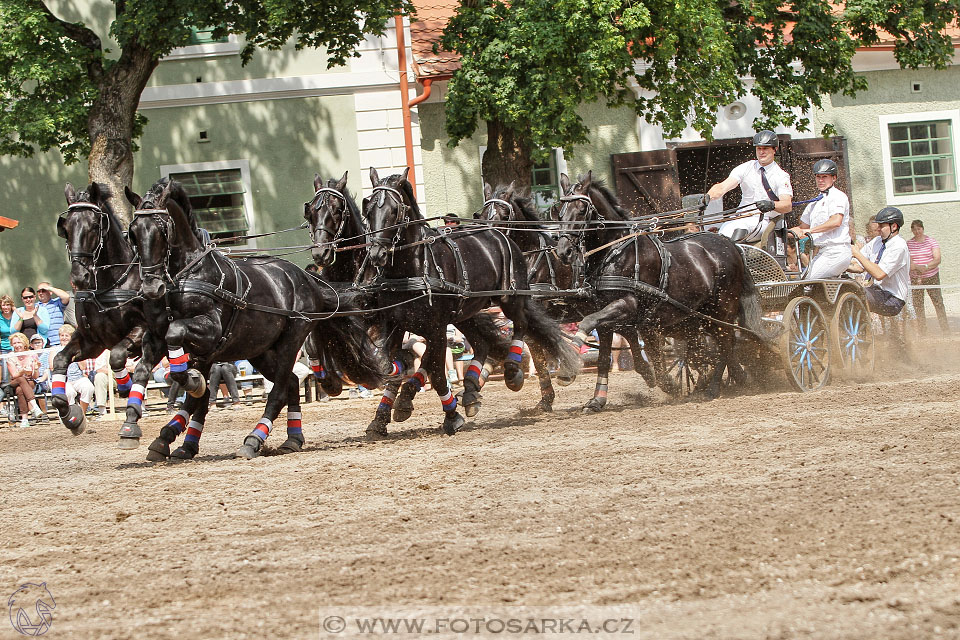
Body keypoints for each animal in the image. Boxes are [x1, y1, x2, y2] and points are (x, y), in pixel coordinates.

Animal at [51, 182, 147, 438]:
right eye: (66, 227)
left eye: (94, 226)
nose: (78, 277)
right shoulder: (92, 341)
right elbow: (60, 359)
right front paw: (70, 415)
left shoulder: (142, 330)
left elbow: (116, 356)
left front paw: (126, 389)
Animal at [125, 180, 384, 460]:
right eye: (133, 233)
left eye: (162, 230)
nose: (151, 287)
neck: (185, 276)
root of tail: (308, 281)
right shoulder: (157, 336)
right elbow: (144, 370)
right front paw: (132, 424)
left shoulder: (209, 333)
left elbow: (178, 341)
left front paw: (193, 383)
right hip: (259, 349)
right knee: (291, 383)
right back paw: (292, 438)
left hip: (291, 339)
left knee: (280, 390)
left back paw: (254, 439)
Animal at [306, 170, 516, 436]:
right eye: (311, 211)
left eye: (336, 209)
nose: (320, 253)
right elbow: (315, 339)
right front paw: (330, 380)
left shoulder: (379, 324)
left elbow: (387, 360)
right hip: (462, 312)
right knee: (478, 343)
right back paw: (465, 391)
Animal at [360, 168, 576, 436]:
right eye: (369, 210)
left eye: (394, 211)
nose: (376, 254)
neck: (412, 268)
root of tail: (500, 236)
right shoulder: (394, 324)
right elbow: (392, 367)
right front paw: (381, 418)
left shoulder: (436, 327)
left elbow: (436, 372)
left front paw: (450, 415)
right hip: (467, 311)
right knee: (483, 343)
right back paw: (472, 387)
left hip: (511, 297)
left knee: (522, 325)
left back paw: (512, 371)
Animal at [552, 172, 760, 408]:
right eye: (560, 212)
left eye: (581, 209)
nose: (564, 252)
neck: (615, 252)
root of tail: (730, 244)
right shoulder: (606, 316)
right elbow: (604, 357)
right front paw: (597, 400)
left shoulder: (627, 305)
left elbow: (587, 322)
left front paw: (568, 365)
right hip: (701, 315)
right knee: (711, 347)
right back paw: (731, 379)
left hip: (722, 308)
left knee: (726, 343)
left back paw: (713, 387)